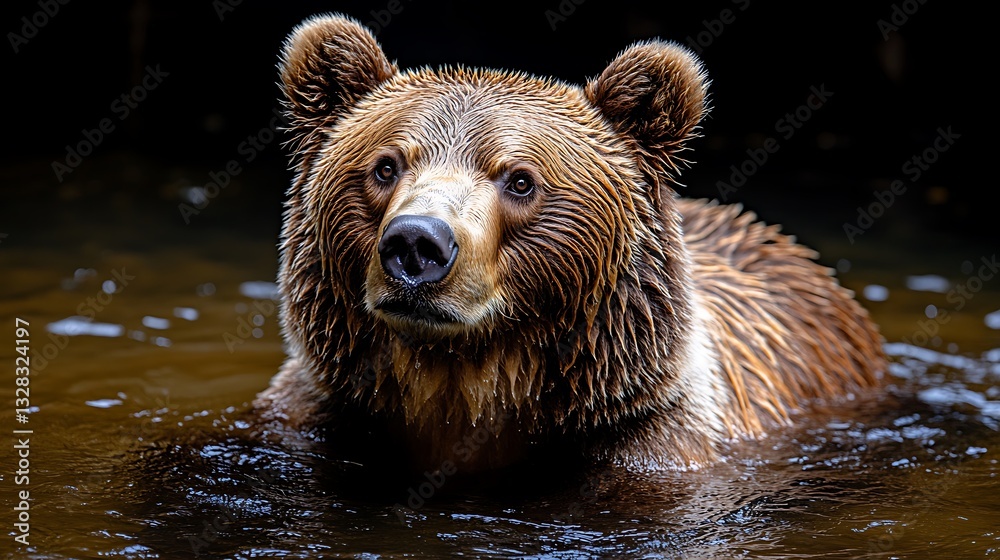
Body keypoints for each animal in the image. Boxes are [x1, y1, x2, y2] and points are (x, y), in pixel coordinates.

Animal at [252, 13, 886, 474]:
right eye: (386, 166)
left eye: (520, 179)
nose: (416, 242)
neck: (461, 387)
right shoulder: (310, 419)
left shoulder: (648, 442)